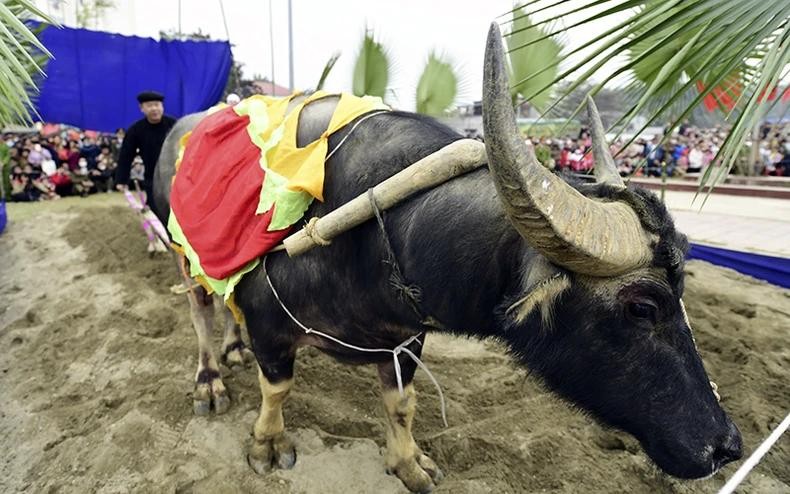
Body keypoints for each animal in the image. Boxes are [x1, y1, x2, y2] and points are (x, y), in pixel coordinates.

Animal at [150, 23, 744, 494]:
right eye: (643, 306)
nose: (726, 446)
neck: (370, 240)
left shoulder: (405, 339)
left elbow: (402, 403)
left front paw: (409, 463)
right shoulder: (270, 325)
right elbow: (277, 389)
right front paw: (267, 444)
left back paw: (234, 348)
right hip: (184, 255)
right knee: (201, 312)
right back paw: (210, 378)